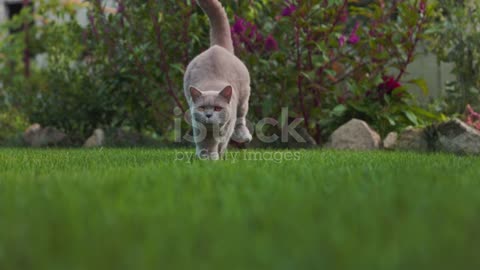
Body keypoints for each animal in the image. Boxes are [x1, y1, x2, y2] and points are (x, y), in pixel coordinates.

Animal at [183, 0, 253, 160]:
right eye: (202, 108)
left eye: (217, 108)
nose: (208, 115)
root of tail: (218, 47)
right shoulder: (198, 126)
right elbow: (204, 143)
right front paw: (205, 156)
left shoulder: (226, 126)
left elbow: (222, 141)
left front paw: (216, 156)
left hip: (244, 97)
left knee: (241, 117)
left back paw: (242, 137)